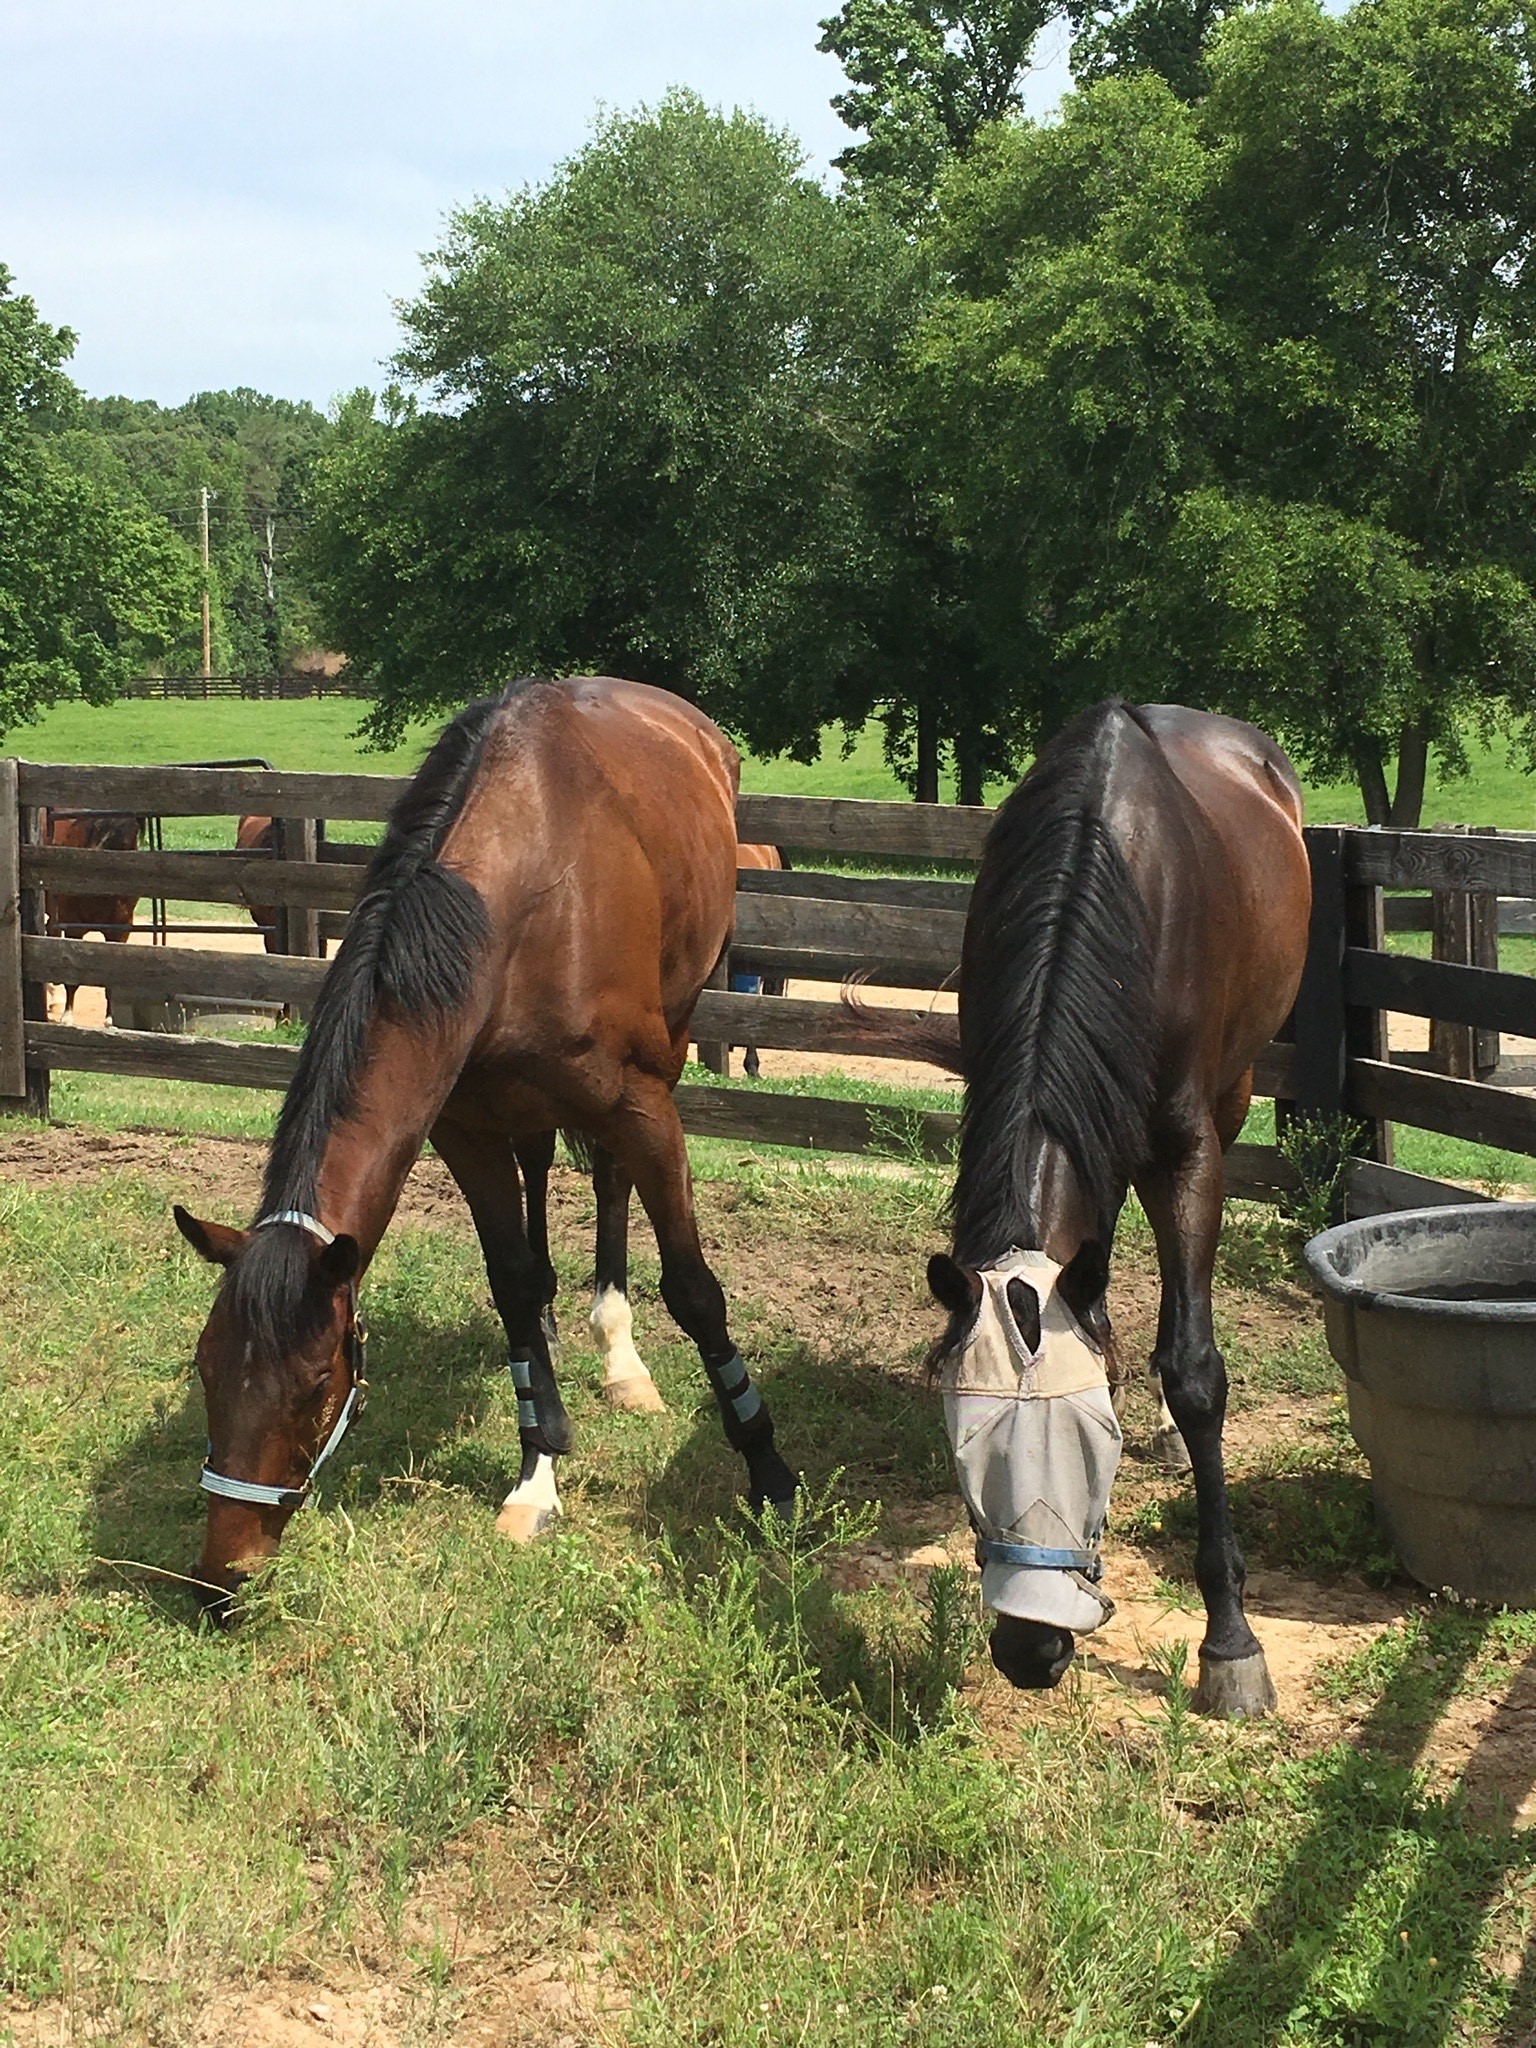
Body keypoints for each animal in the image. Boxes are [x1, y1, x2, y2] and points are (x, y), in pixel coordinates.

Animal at [174, 679, 798, 1622]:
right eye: (205, 1370)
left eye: (317, 1384)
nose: (225, 1575)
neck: (526, 897)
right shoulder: (462, 1127)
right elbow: (510, 1284)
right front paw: (538, 1467)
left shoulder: (644, 1106)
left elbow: (695, 1291)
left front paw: (767, 1469)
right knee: (538, 1176)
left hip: (678, 1027)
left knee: (609, 1183)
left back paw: (619, 1352)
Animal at [909, 704, 1318, 1712]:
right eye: (964, 1455)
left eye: (1098, 1452)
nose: (1029, 1652)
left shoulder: (1185, 1151)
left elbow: (1196, 1368)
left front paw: (1230, 1641)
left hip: (1233, 1088)